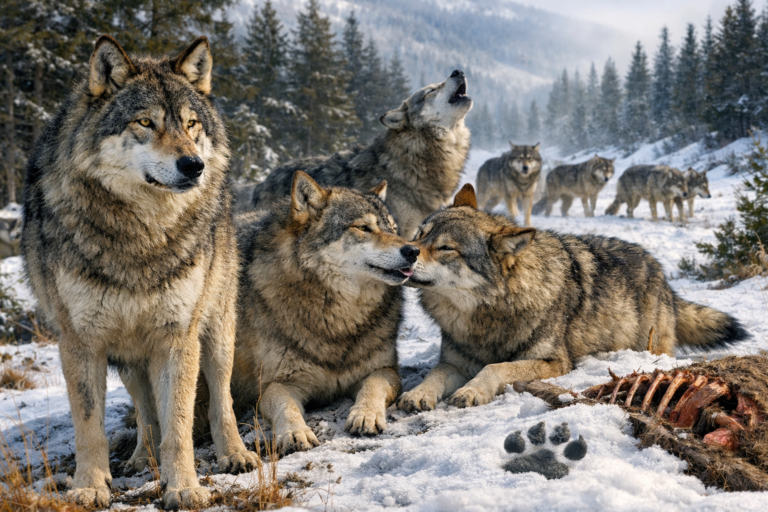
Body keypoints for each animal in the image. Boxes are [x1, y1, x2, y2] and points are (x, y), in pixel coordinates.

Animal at [21, 36, 257, 509]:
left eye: (191, 124)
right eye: (145, 122)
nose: (193, 166)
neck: (142, 238)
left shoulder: (177, 337)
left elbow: (179, 425)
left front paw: (184, 487)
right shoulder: (81, 343)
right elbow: (89, 426)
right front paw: (90, 486)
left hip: (216, 331)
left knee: (220, 397)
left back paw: (234, 453)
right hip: (129, 357)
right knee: (146, 412)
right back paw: (137, 460)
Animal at [232, 172, 418, 454]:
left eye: (393, 229)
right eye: (363, 228)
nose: (413, 251)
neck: (337, 320)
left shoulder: (384, 370)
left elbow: (372, 388)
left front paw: (365, 415)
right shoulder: (277, 384)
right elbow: (286, 407)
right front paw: (296, 433)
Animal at [397, 184, 747, 412]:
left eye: (446, 248)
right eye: (420, 235)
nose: (408, 250)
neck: (486, 314)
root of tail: (663, 276)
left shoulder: (555, 363)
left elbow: (495, 368)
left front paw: (471, 391)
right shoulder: (453, 362)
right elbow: (434, 375)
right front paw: (417, 394)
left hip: (650, 345)